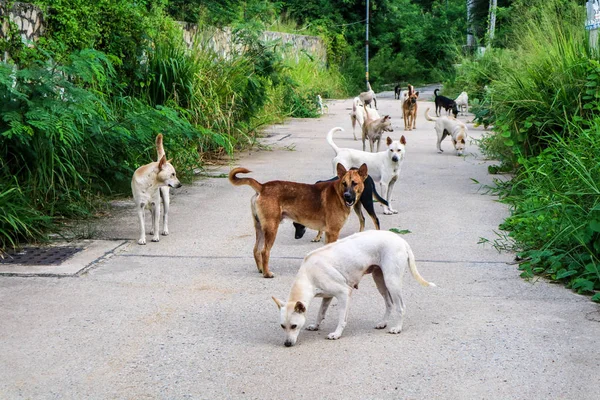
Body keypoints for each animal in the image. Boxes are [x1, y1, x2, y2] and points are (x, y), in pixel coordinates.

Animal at [230, 162, 368, 278]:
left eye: (354, 183)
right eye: (344, 183)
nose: (347, 196)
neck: (338, 193)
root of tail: (262, 187)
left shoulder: (329, 233)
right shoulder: (333, 232)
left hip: (260, 228)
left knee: (256, 250)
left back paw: (261, 269)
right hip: (271, 228)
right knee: (264, 251)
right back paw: (267, 273)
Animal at [274, 230, 436, 346]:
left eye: (294, 326)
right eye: (282, 326)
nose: (287, 344)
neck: (308, 274)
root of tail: (401, 240)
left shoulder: (344, 293)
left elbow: (341, 319)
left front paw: (336, 334)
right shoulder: (327, 297)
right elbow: (321, 313)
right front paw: (315, 326)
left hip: (392, 281)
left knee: (400, 306)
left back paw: (398, 328)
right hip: (380, 281)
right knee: (389, 303)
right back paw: (383, 323)